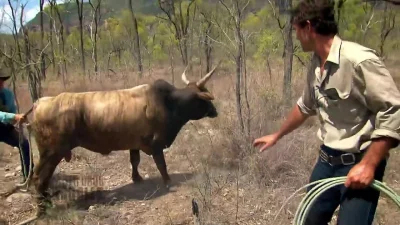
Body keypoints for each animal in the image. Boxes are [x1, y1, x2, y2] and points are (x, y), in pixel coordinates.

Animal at [24, 62, 220, 217]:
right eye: (203, 98)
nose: (215, 111)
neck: (168, 102)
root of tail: (39, 102)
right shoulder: (156, 144)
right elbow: (161, 165)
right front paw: (168, 182)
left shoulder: (134, 143)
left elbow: (135, 161)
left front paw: (137, 178)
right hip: (51, 154)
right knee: (39, 179)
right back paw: (42, 210)